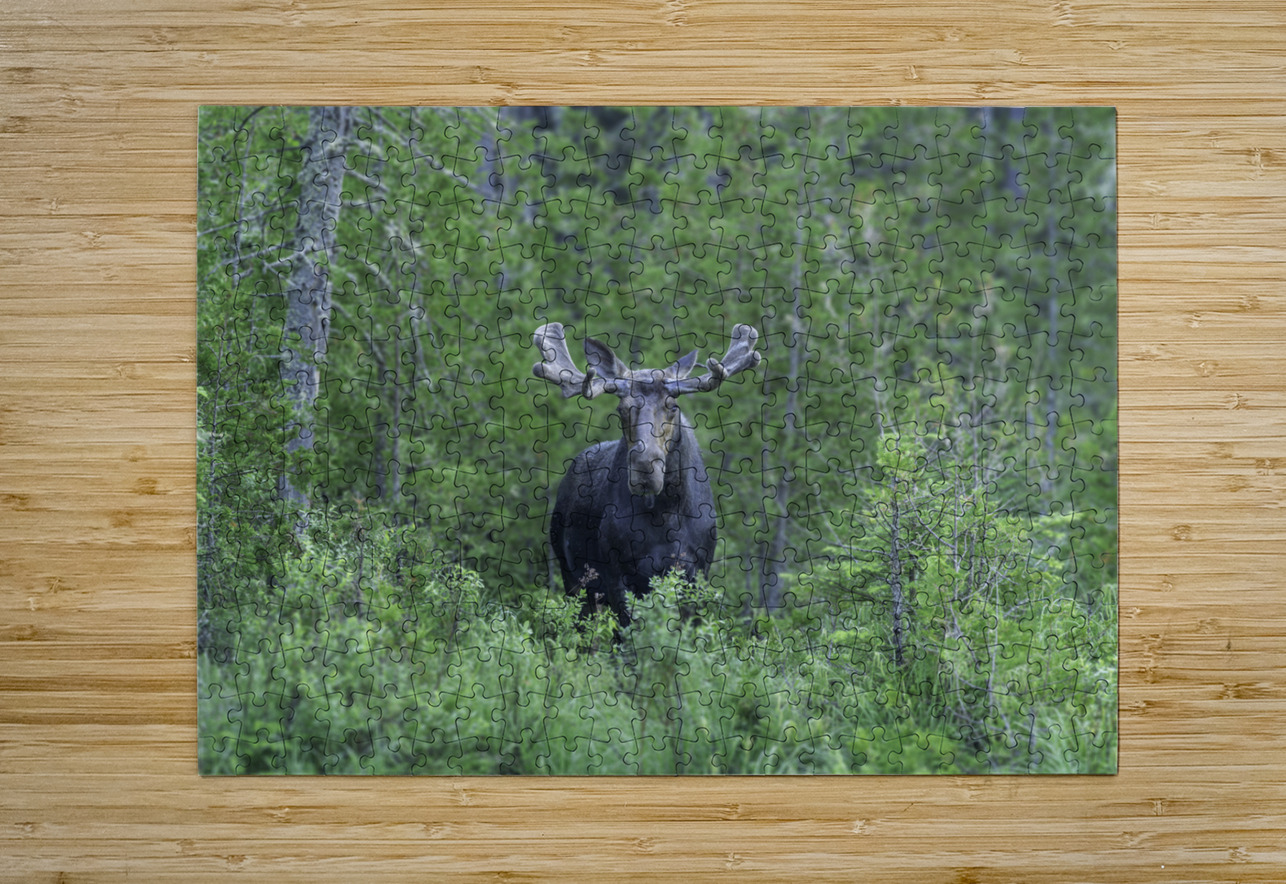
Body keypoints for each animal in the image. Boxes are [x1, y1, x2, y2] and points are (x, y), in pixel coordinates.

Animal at [532, 321, 763, 626]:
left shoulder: (697, 573)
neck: (665, 513)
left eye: (672, 405)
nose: (645, 466)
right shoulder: (616, 573)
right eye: (621, 409)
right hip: (572, 577)